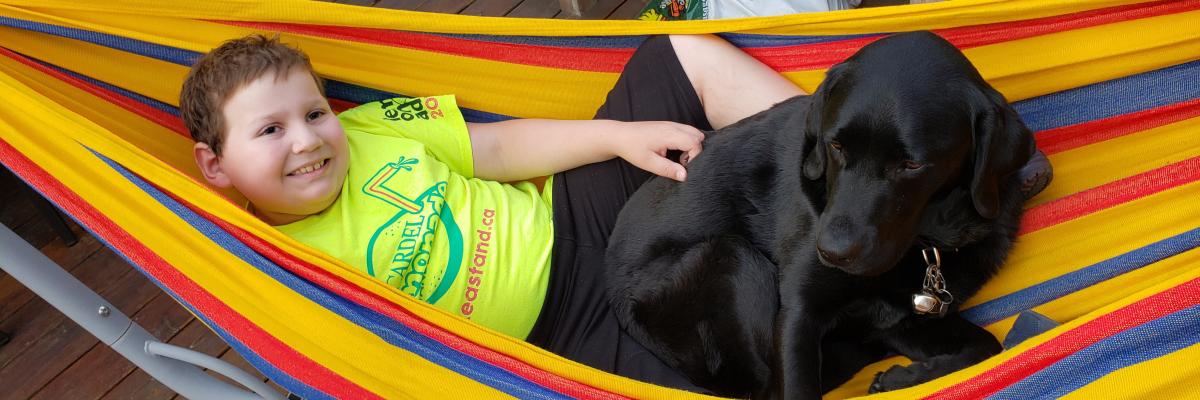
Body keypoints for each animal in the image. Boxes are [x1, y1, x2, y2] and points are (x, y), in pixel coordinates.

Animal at [604, 31, 1036, 398]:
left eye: (912, 164)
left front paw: (904, 377)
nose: (831, 253)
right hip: (731, 256)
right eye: (836, 146)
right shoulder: (799, 314)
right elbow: (796, 385)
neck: (928, 241)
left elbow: (988, 344)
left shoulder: (902, 319)